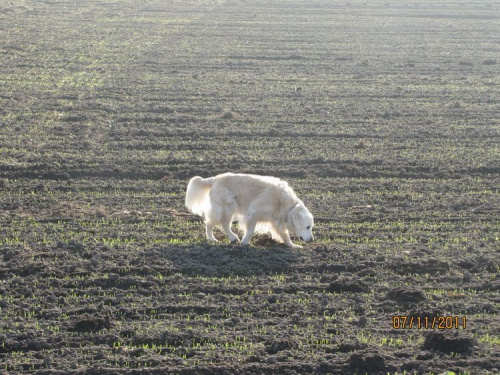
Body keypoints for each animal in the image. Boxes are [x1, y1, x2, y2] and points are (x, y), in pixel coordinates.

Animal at [186, 174, 314, 250]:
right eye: (307, 227)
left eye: (311, 227)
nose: (312, 240)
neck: (284, 203)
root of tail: (215, 178)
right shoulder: (253, 213)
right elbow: (251, 231)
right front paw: (245, 242)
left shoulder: (275, 221)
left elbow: (285, 235)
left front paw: (293, 245)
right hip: (226, 208)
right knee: (214, 224)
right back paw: (214, 239)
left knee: (222, 224)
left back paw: (230, 238)